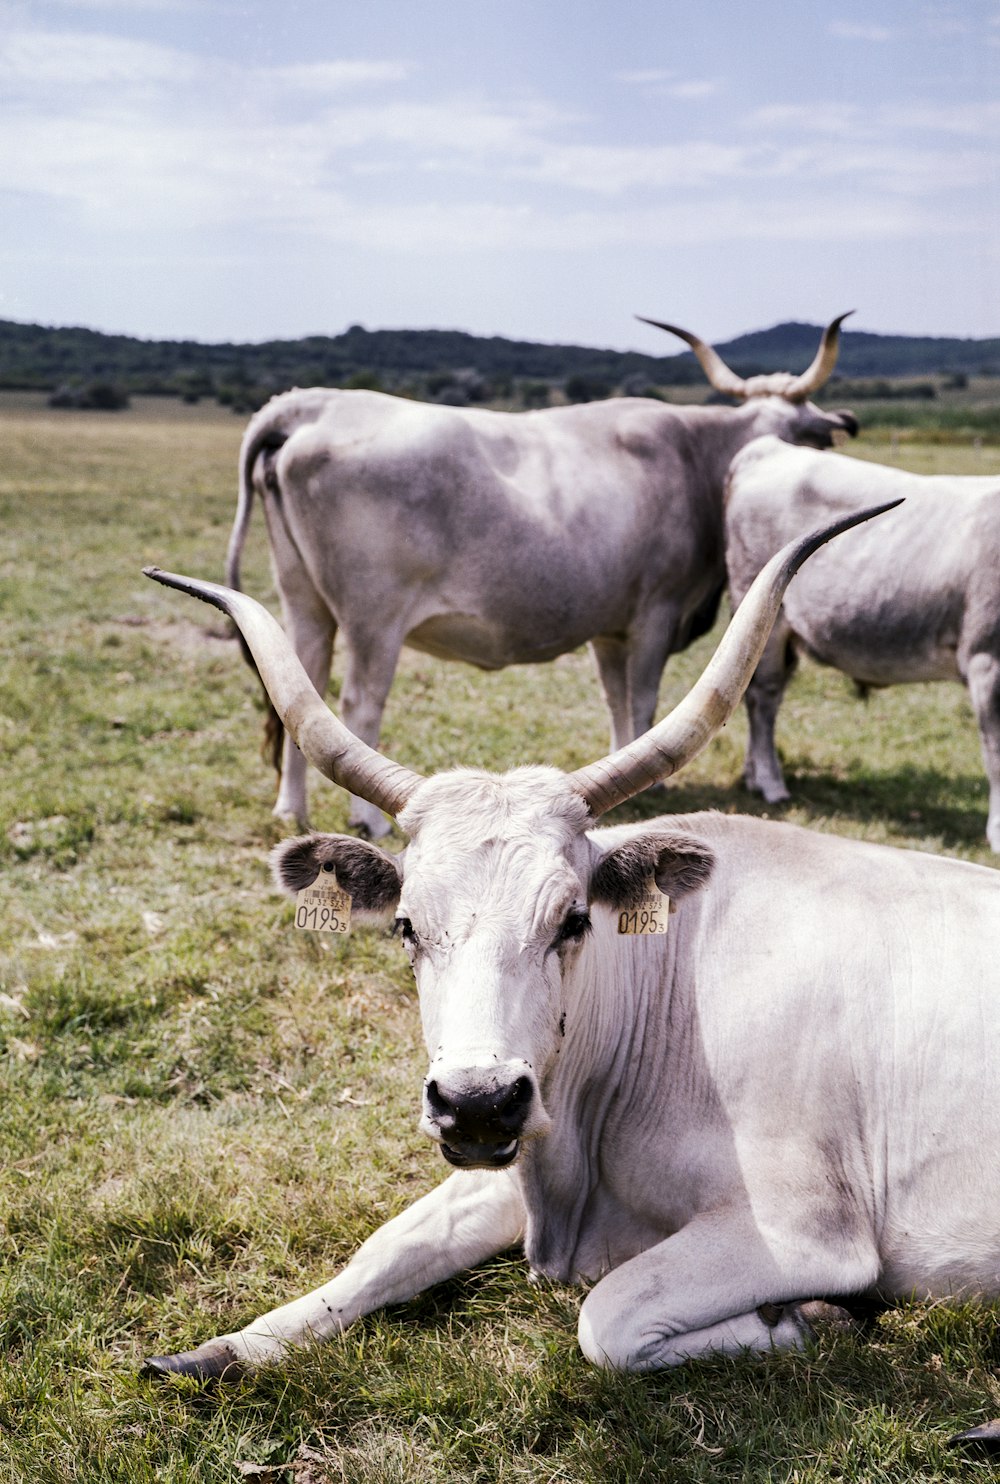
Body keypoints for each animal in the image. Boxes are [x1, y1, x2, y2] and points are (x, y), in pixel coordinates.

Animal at [140, 495, 1000, 1436]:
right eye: (405, 926)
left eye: (573, 919)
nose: (479, 1100)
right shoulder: (520, 1144)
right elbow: (387, 1248)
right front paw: (222, 1348)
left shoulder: (804, 1226)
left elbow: (608, 1317)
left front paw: (809, 1317)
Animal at [229, 310, 854, 836]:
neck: (694, 456)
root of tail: (314, 404)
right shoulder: (656, 611)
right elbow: (645, 699)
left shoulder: (610, 626)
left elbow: (617, 700)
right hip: (374, 619)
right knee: (359, 703)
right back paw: (369, 822)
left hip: (303, 602)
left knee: (301, 687)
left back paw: (291, 810)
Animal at [721, 433, 997, 848]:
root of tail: (770, 447)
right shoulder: (986, 660)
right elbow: (995, 753)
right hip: (760, 613)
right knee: (762, 700)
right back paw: (771, 784)